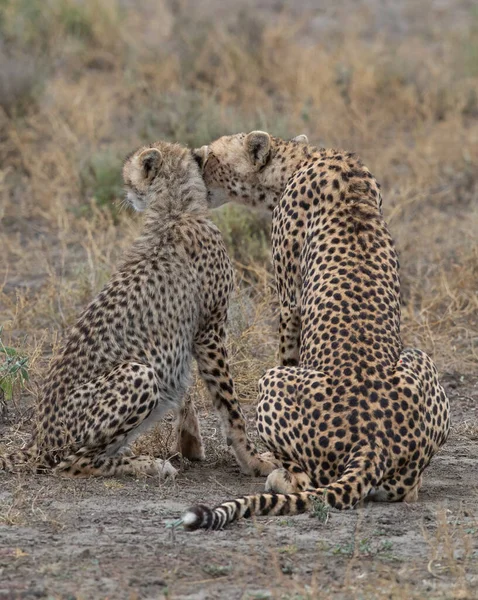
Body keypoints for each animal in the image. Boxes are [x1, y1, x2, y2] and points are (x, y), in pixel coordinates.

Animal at [0, 141, 276, 478]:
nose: (126, 193)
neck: (175, 209)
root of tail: (37, 441)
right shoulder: (210, 330)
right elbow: (230, 406)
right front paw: (253, 460)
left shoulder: (189, 335)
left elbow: (187, 388)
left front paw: (191, 443)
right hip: (138, 373)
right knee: (72, 463)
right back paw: (148, 464)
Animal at [181, 132, 450, 528]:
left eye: (211, 155)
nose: (195, 157)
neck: (301, 159)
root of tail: (373, 444)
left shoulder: (290, 304)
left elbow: (288, 350)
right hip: (420, 360)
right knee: (407, 489)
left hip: (272, 381)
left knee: (306, 481)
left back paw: (278, 475)